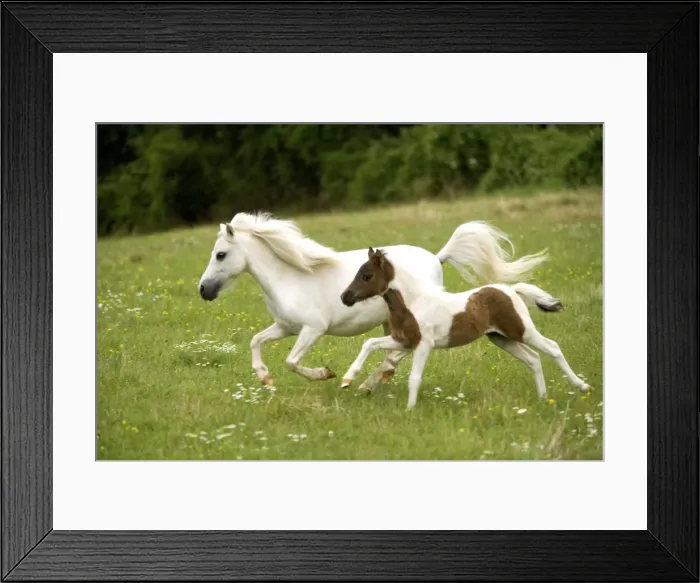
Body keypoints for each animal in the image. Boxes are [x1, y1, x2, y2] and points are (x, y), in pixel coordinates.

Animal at [198, 212, 548, 389]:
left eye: (221, 254)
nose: (203, 290)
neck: (290, 278)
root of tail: (437, 258)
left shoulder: (312, 329)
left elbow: (292, 362)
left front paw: (326, 374)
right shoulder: (285, 327)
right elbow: (256, 341)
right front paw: (265, 379)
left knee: (397, 354)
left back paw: (367, 382)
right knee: (395, 354)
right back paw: (373, 381)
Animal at [339, 248, 590, 409]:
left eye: (367, 276)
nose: (345, 297)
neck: (413, 302)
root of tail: (511, 290)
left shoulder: (424, 344)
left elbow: (414, 377)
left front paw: (410, 410)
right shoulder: (403, 341)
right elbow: (369, 343)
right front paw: (347, 379)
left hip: (522, 331)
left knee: (552, 348)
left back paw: (582, 386)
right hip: (501, 338)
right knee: (533, 359)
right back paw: (543, 398)